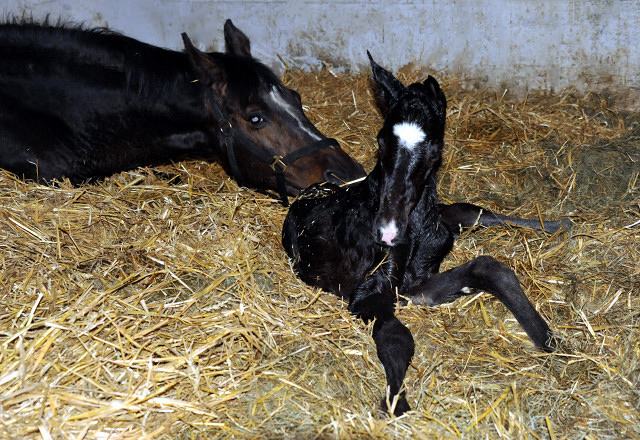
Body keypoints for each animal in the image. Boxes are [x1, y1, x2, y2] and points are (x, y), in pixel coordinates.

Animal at [282, 54, 556, 416]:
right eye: (381, 140)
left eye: (434, 149)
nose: (387, 232)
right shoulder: (376, 292)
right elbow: (397, 336)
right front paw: (397, 403)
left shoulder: (417, 284)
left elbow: (488, 267)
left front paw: (549, 340)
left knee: (467, 212)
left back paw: (559, 224)